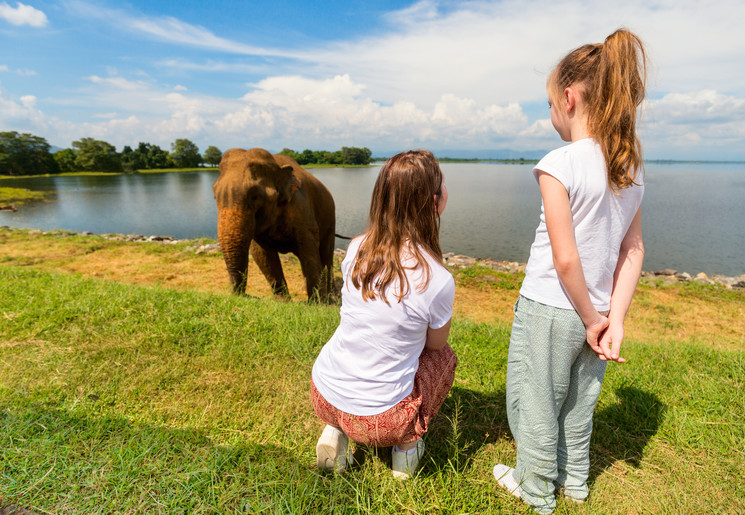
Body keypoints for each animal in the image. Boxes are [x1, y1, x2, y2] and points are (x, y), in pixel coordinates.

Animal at [212, 147, 334, 300]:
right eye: (215, 196)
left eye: (255, 196)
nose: (243, 295)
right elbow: (262, 254)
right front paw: (283, 301)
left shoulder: (301, 207)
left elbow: (309, 249)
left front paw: (318, 302)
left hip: (330, 220)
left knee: (326, 255)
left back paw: (331, 296)